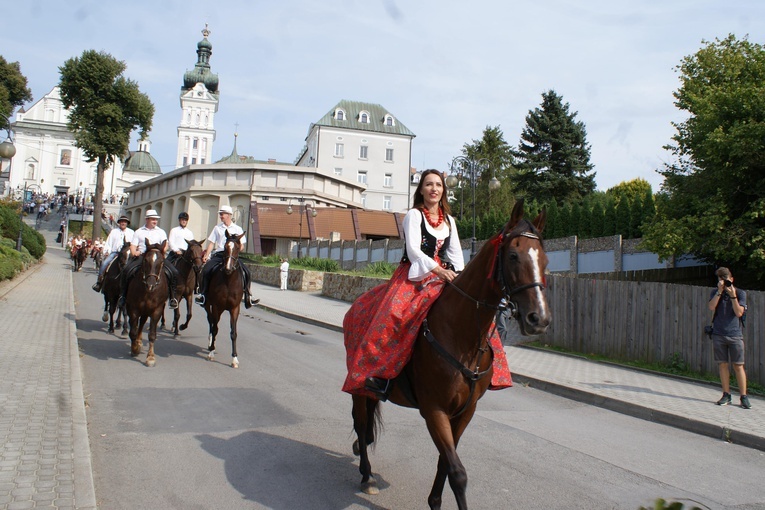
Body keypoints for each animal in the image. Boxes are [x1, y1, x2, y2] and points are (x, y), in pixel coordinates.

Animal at [203, 230, 242, 366]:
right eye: (225, 247)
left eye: (237, 248)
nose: (228, 268)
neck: (229, 281)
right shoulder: (216, 306)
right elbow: (215, 328)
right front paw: (211, 352)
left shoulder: (235, 309)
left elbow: (234, 333)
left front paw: (235, 359)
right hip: (208, 304)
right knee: (211, 321)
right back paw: (210, 343)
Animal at [346, 200, 548, 510]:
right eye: (513, 255)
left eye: (545, 260)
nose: (538, 319)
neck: (462, 337)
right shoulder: (434, 410)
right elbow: (457, 472)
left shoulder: (465, 412)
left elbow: (445, 462)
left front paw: (435, 500)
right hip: (359, 386)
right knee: (361, 422)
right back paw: (367, 476)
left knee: (366, 427)